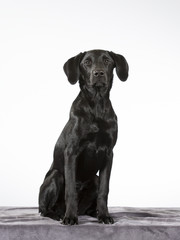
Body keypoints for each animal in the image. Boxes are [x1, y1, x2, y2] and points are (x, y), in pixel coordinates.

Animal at [38, 49, 128, 225]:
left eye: (107, 61)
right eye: (87, 62)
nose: (98, 73)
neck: (97, 106)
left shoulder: (109, 154)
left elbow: (104, 191)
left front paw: (105, 216)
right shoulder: (72, 152)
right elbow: (71, 190)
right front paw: (70, 218)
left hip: (95, 179)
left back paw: (94, 213)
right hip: (55, 176)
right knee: (44, 210)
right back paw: (59, 215)